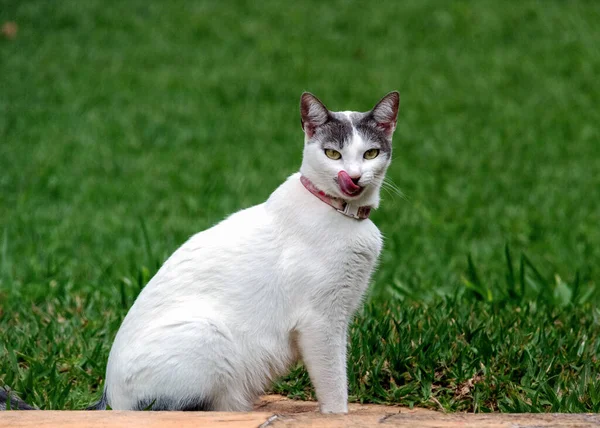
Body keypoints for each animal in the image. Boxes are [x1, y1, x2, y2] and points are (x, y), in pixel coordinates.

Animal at [3, 89, 404, 412]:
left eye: (370, 153)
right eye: (332, 153)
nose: (353, 176)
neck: (342, 215)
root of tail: (108, 398)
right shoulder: (321, 323)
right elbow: (335, 388)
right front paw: (339, 415)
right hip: (209, 336)